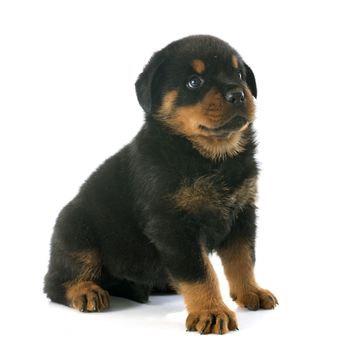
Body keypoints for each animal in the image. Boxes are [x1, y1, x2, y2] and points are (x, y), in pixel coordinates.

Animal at [44, 34, 278, 334]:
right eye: (194, 82)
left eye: (239, 75)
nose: (238, 94)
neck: (212, 158)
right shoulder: (173, 224)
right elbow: (201, 272)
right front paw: (211, 311)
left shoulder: (242, 213)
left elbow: (243, 260)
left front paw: (251, 292)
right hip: (76, 230)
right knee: (58, 280)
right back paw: (85, 291)